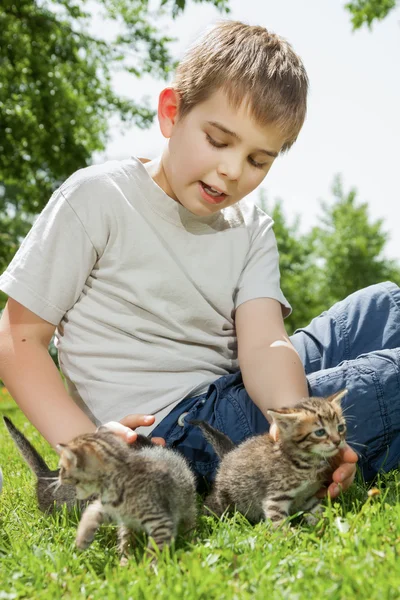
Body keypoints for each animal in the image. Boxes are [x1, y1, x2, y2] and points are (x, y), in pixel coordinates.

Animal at [57, 426, 198, 564]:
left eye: (62, 468)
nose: (59, 477)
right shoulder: (111, 508)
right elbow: (92, 512)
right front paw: (82, 536)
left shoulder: (162, 522)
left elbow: (155, 549)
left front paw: (147, 567)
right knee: (126, 537)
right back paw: (125, 559)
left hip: (187, 501)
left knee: (190, 518)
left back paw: (190, 538)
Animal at [191, 390, 346, 524]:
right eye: (320, 432)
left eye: (341, 428)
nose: (338, 441)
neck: (305, 462)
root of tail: (229, 454)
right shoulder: (275, 497)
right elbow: (279, 522)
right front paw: (288, 537)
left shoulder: (308, 496)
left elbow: (316, 513)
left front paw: (326, 529)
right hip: (222, 498)